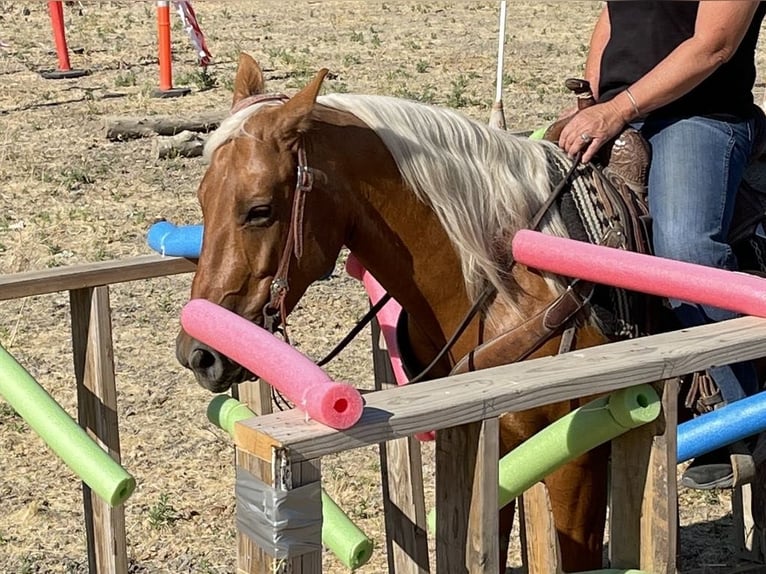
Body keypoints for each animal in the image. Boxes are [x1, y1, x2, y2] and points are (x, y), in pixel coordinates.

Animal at [178, 53, 624, 572]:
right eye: (203, 199)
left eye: (260, 210)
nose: (198, 354)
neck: (509, 284)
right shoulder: (494, 445)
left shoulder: (580, 460)